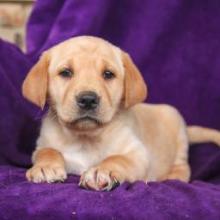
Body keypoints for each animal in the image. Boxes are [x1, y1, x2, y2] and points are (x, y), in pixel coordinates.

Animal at [22, 36, 220, 191]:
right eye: (65, 72)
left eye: (108, 74)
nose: (88, 99)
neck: (85, 138)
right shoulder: (42, 144)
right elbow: (47, 151)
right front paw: (45, 167)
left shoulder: (138, 154)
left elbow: (117, 158)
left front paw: (100, 171)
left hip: (177, 127)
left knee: (183, 167)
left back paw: (171, 177)